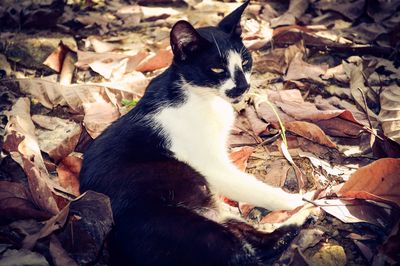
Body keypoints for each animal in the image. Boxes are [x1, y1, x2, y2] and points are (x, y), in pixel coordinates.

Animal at [80, 1, 306, 264]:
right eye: (217, 69)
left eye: (245, 63)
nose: (243, 86)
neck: (201, 97)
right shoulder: (209, 164)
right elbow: (248, 184)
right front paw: (292, 199)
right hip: (186, 225)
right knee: (252, 251)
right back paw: (305, 212)